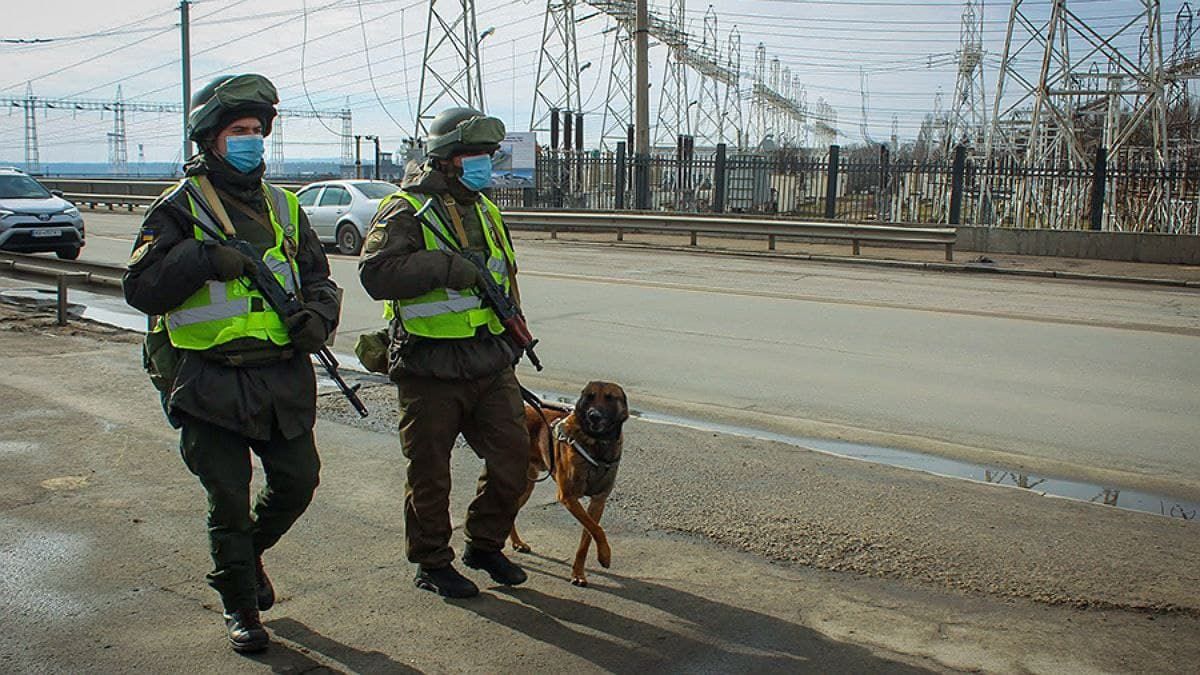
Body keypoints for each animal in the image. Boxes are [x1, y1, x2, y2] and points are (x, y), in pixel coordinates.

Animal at [511, 379, 633, 583]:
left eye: (610, 398)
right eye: (589, 397)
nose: (594, 415)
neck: (597, 445)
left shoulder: (598, 502)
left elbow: (588, 536)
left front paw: (579, 572)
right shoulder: (568, 497)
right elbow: (597, 529)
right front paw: (605, 556)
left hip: (528, 485)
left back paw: (516, 542)